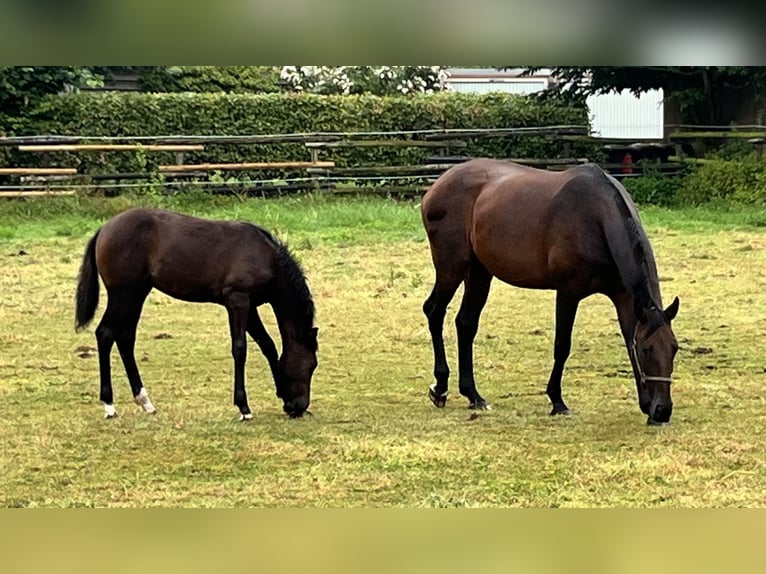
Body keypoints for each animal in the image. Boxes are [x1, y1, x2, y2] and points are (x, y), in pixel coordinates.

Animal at [74, 209, 318, 420]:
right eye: (311, 365)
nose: (299, 407)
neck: (266, 256)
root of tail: (104, 228)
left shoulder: (250, 306)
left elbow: (268, 345)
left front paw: (281, 397)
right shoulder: (238, 300)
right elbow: (240, 349)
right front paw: (244, 408)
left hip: (137, 294)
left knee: (125, 338)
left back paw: (145, 402)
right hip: (123, 294)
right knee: (105, 334)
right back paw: (109, 405)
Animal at [424, 160, 680, 426]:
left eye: (674, 348)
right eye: (648, 349)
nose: (663, 410)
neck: (596, 217)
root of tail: (438, 185)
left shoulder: (623, 296)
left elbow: (629, 341)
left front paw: (645, 404)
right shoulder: (568, 291)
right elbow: (562, 345)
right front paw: (557, 401)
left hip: (479, 272)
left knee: (465, 323)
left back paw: (473, 395)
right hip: (451, 268)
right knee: (434, 312)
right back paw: (440, 388)